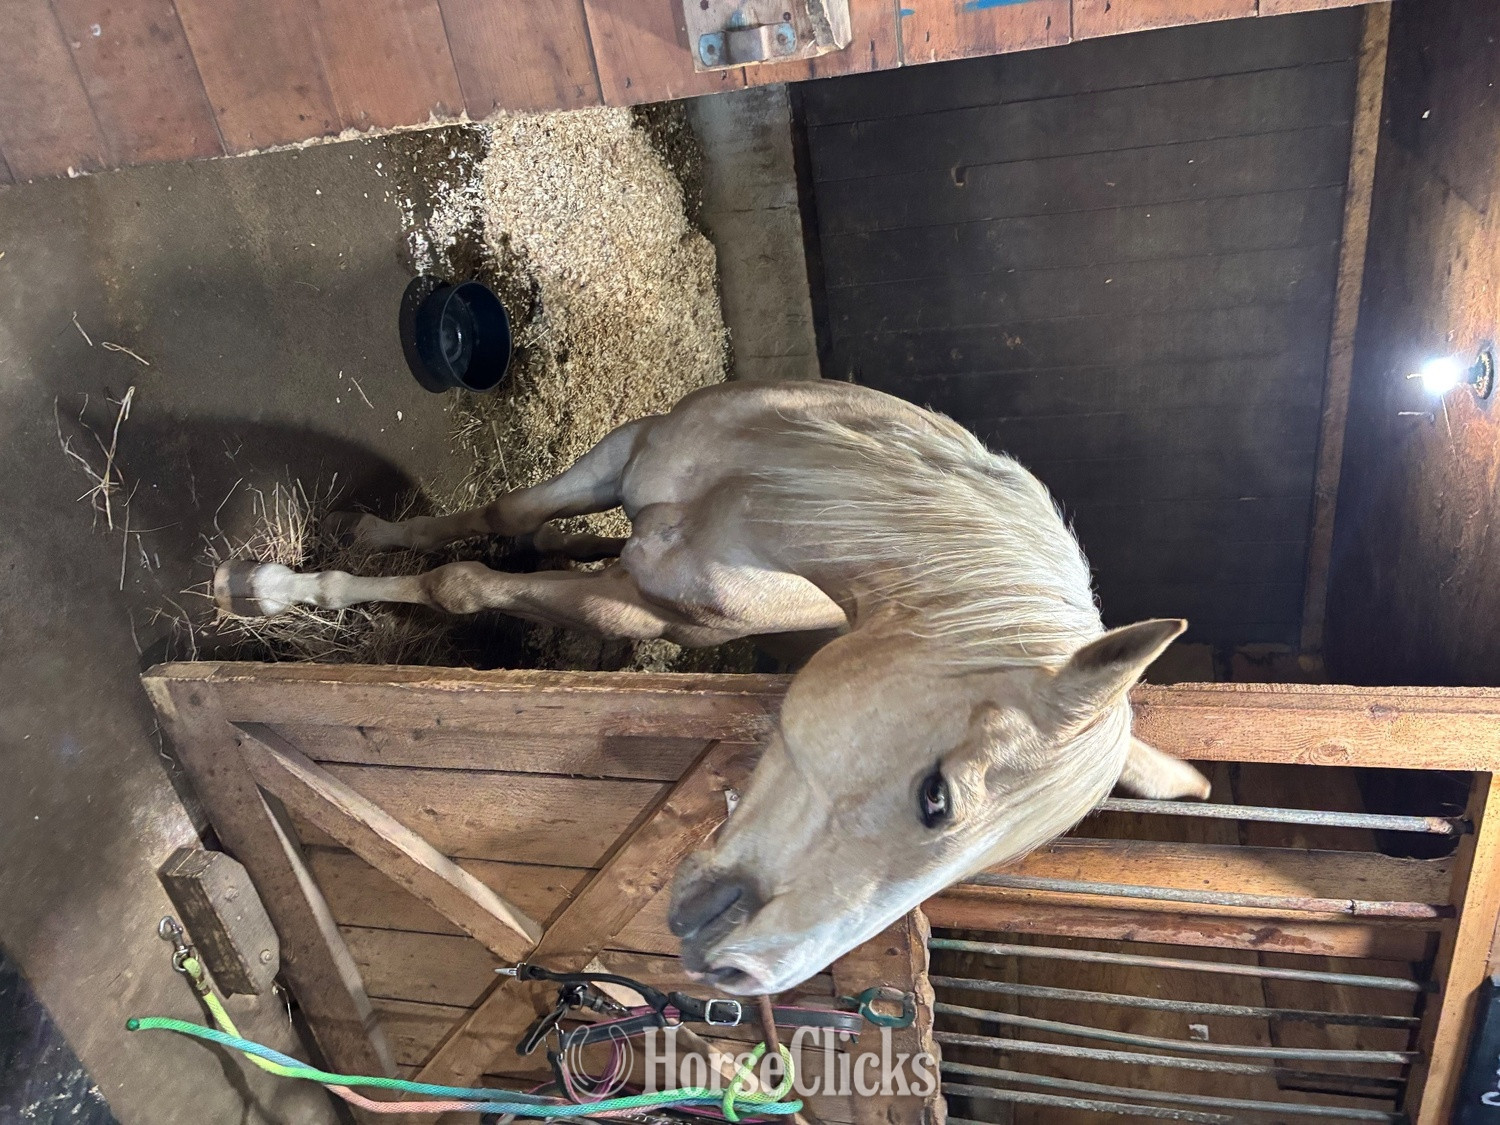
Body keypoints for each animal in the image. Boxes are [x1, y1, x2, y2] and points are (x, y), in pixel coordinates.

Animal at [214, 380, 1210, 995]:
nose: (746, 974)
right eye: (937, 798)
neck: (755, 503)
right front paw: (314, 565)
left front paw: (290, 586)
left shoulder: (640, 606)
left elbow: (473, 582)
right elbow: (496, 521)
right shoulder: (626, 450)